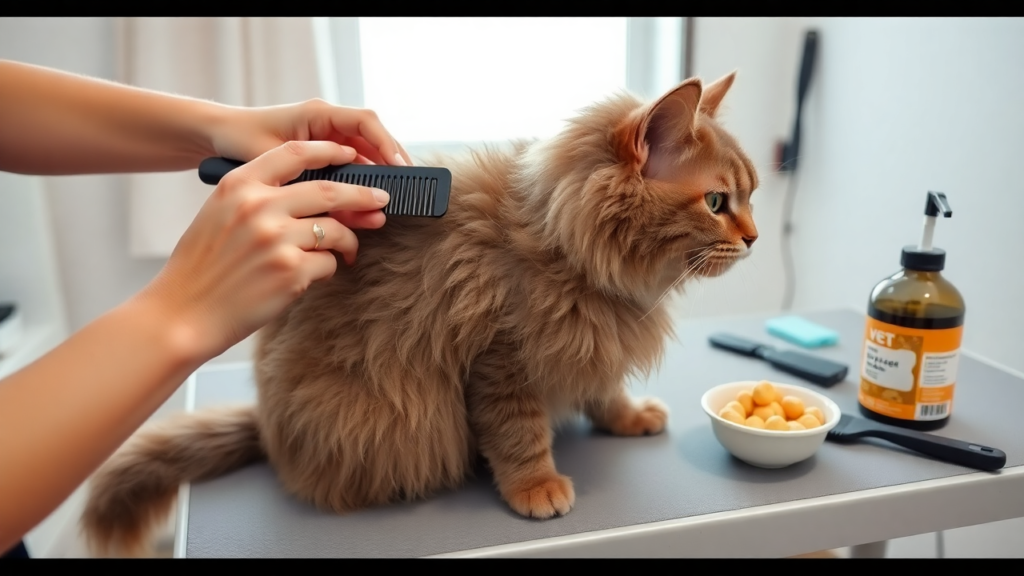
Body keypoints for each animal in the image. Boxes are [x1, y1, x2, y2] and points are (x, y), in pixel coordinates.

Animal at [83, 71, 757, 553]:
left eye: (750, 198)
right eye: (717, 202)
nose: (753, 238)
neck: (566, 248)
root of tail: (270, 429)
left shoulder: (586, 347)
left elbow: (604, 391)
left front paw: (629, 416)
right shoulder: (500, 362)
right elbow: (519, 436)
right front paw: (535, 487)